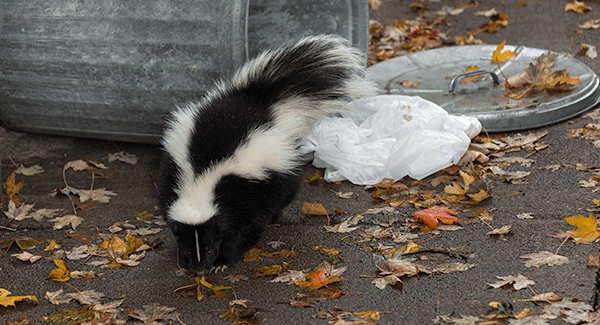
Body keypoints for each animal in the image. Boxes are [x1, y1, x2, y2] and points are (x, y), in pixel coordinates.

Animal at [156, 34, 370, 274]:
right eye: (189, 250)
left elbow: (244, 231)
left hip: (280, 170)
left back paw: (276, 217)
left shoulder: (245, 193)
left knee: (286, 193)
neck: (203, 178)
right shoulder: (174, 176)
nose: (200, 269)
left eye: (210, 248)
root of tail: (259, 100)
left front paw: (223, 261)